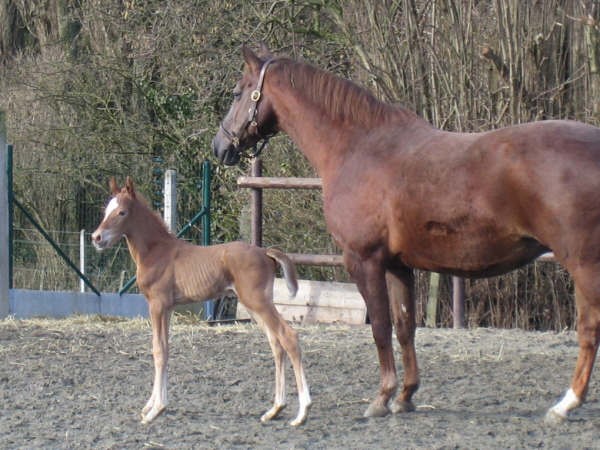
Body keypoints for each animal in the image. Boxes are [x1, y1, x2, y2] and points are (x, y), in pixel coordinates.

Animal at [92, 176, 314, 426]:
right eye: (106, 210)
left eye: (121, 212)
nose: (96, 238)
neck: (156, 251)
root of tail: (265, 252)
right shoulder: (168, 308)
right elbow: (165, 349)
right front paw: (152, 405)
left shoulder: (157, 304)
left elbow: (158, 350)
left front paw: (155, 410)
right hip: (254, 305)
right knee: (276, 343)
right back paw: (275, 409)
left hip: (257, 302)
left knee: (288, 337)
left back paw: (302, 412)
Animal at [213, 45, 600, 422]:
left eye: (237, 93)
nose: (220, 146)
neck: (358, 147)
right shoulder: (398, 265)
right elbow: (404, 326)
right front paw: (405, 396)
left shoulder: (363, 260)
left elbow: (380, 326)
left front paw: (382, 397)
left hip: (583, 265)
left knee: (588, 329)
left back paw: (565, 405)